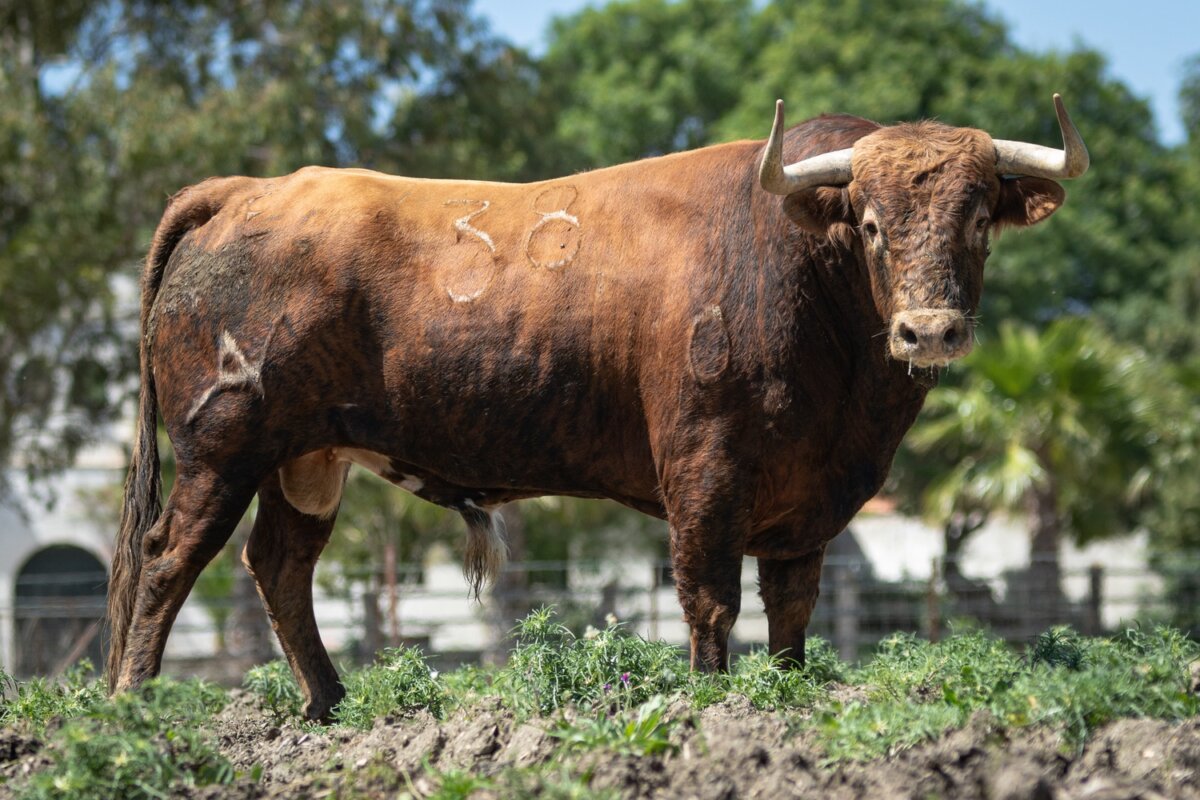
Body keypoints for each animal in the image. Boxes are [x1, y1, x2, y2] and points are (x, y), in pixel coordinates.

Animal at [108, 94, 1089, 719]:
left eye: (978, 220)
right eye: (874, 224)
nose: (930, 331)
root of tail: (250, 191)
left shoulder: (806, 504)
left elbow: (792, 612)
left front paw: (786, 699)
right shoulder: (705, 469)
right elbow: (709, 599)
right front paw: (713, 707)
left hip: (305, 457)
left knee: (279, 565)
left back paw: (332, 707)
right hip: (222, 444)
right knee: (168, 560)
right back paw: (134, 703)